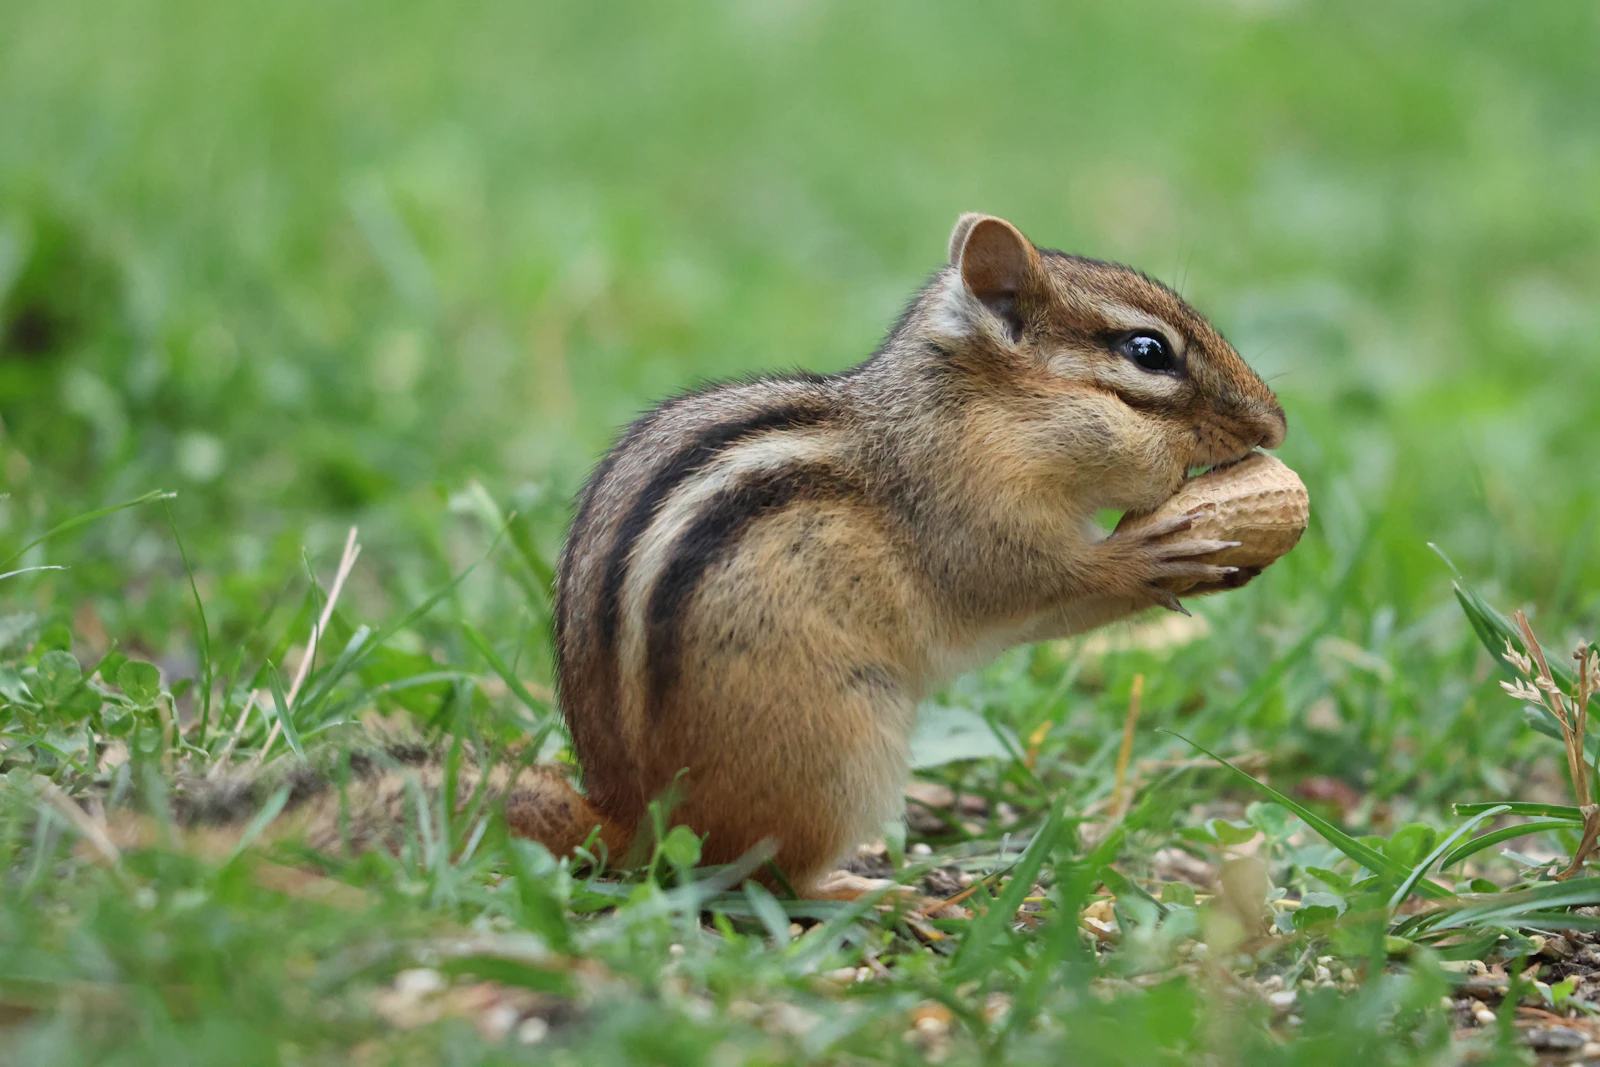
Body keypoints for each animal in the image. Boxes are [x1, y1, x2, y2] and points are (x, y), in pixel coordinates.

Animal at [172, 213, 1287, 898]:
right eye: (1147, 354)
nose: (1275, 423)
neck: (966, 414)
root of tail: (627, 816)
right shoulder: (967, 523)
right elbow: (1036, 587)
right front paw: (1157, 557)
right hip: (841, 750)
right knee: (763, 877)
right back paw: (867, 887)